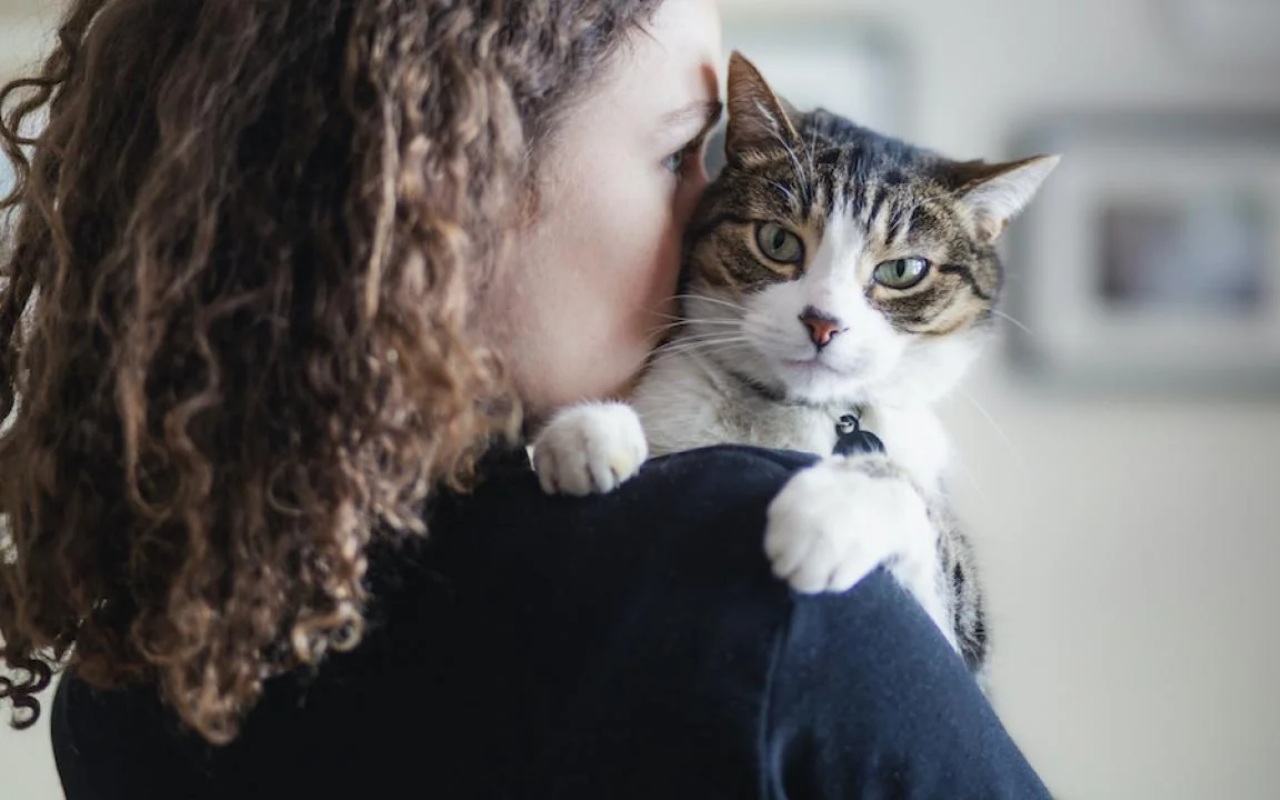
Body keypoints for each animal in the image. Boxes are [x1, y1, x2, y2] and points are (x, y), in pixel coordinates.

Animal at [529, 51, 1059, 675]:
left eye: (903, 270)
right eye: (778, 241)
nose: (823, 323)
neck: (794, 414)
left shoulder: (961, 635)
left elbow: (923, 522)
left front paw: (830, 511)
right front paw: (587, 433)